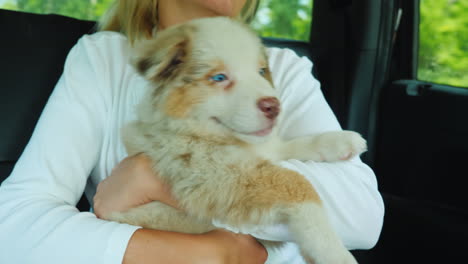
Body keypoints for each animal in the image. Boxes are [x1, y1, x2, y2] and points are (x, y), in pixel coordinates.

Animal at [107, 17, 366, 264]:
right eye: (219, 77)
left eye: (261, 72)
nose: (274, 106)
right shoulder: (214, 174)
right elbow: (298, 182)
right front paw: (333, 253)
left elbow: (290, 145)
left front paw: (341, 141)